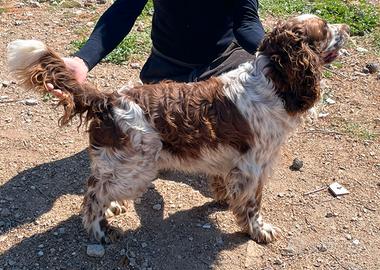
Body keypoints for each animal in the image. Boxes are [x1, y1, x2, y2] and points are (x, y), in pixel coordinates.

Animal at [6, 13, 350, 244]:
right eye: (324, 30)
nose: (346, 29)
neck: (272, 80)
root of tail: (109, 99)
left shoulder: (232, 162)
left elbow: (225, 187)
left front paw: (224, 201)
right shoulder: (254, 166)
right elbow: (252, 206)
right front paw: (258, 230)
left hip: (121, 165)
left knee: (100, 184)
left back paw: (113, 208)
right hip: (137, 168)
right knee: (93, 194)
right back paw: (98, 231)